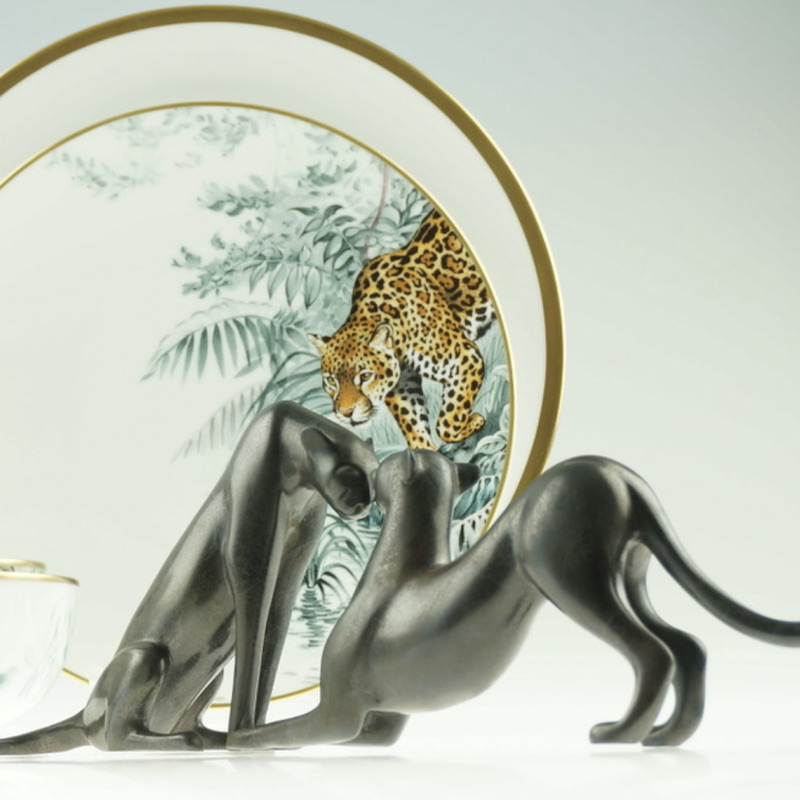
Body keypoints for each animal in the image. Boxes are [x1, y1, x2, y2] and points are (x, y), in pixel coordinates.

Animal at [309, 209, 496, 450]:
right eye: (331, 380)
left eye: (366, 376)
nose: (346, 413)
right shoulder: (402, 386)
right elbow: (413, 424)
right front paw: (426, 451)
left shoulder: (465, 358)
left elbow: (448, 419)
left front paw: (473, 421)